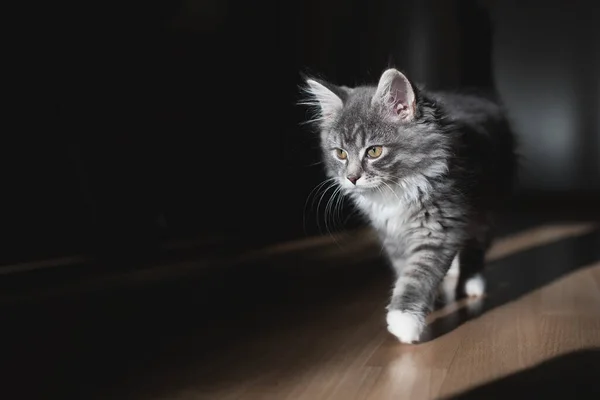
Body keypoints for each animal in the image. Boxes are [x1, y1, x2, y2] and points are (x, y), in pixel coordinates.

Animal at [302, 69, 516, 344]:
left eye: (374, 151)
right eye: (340, 154)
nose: (351, 178)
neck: (394, 191)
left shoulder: (438, 227)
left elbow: (418, 273)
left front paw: (404, 320)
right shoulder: (390, 233)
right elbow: (404, 268)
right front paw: (426, 304)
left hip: (488, 207)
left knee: (476, 246)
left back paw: (472, 283)